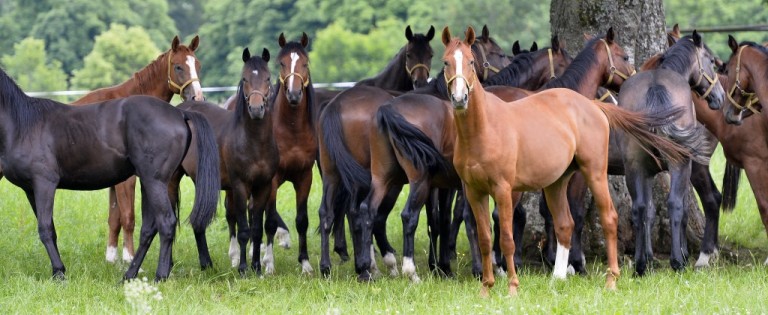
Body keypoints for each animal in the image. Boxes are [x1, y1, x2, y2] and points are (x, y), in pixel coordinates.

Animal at [0, 67, 220, 282]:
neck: (24, 126)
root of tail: (179, 113)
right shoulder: (31, 189)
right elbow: (50, 229)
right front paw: (58, 271)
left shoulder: (45, 184)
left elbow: (45, 229)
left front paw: (59, 274)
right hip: (149, 183)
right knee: (149, 228)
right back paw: (129, 275)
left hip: (155, 182)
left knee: (166, 222)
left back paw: (160, 276)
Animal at [68, 35, 202, 266]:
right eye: (178, 66)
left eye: (197, 65)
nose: (198, 97)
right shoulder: (127, 179)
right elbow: (128, 217)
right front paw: (130, 259)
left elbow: (114, 218)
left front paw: (111, 259)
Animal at [171, 47, 280, 276]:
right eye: (245, 78)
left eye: (267, 78)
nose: (256, 109)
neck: (253, 142)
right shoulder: (239, 186)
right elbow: (244, 230)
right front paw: (243, 268)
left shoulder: (264, 186)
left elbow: (257, 229)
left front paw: (257, 267)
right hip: (172, 179)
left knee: (199, 221)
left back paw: (206, 263)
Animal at [440, 25, 692, 298]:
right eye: (446, 62)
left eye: (471, 62)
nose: (460, 98)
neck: (484, 128)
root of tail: (592, 106)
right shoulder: (475, 191)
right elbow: (487, 237)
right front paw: (487, 287)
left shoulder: (504, 189)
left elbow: (508, 237)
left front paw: (514, 285)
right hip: (557, 183)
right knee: (564, 223)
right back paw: (557, 277)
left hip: (593, 173)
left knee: (608, 218)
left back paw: (610, 279)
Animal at [620, 30, 724, 276]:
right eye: (711, 61)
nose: (720, 97)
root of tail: (655, 87)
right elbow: (682, 210)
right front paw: (682, 255)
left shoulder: (648, 173)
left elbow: (647, 211)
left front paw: (647, 258)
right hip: (681, 164)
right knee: (676, 204)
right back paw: (678, 262)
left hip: (634, 166)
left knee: (639, 208)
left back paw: (640, 266)